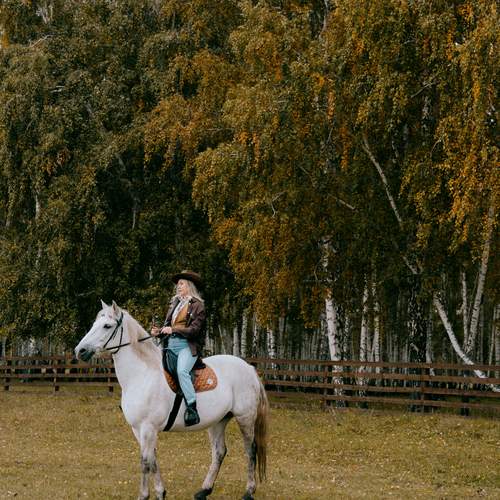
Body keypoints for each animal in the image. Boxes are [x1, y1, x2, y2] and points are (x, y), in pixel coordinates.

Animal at [74, 301, 268, 500]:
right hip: (218, 421)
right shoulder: (138, 429)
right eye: (94, 324)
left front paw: (144, 495)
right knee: (219, 452)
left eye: (107, 326)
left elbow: (145, 461)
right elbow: (153, 459)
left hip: (245, 418)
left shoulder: (148, 428)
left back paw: (248, 491)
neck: (142, 375)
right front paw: (161, 492)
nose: (80, 351)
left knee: (250, 450)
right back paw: (204, 490)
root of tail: (249, 368)